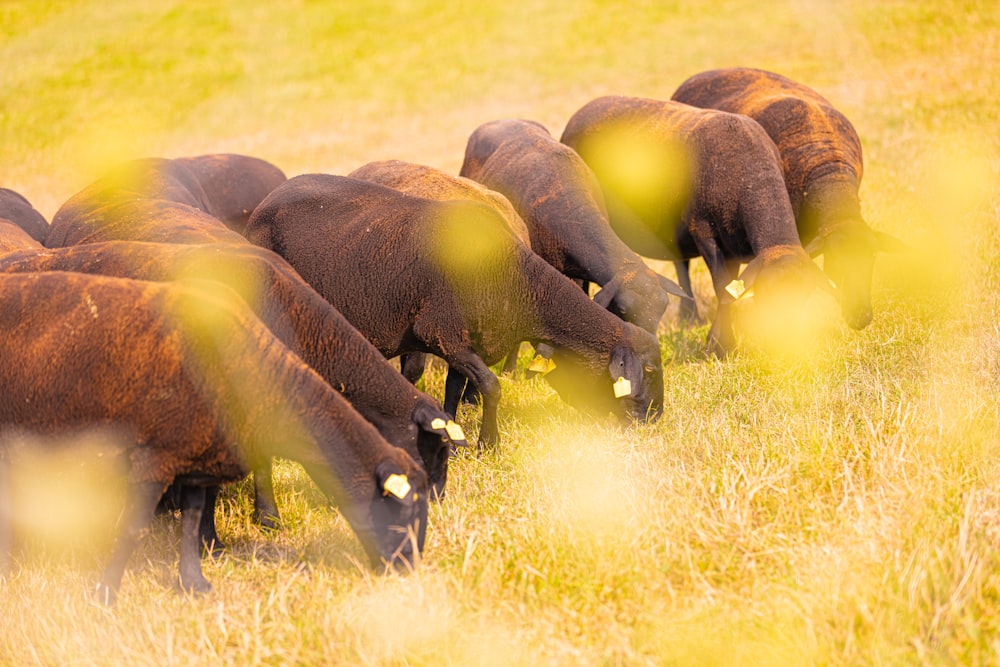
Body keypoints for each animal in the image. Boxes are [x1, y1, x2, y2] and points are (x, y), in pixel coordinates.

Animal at [0, 272, 426, 604]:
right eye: (404, 511)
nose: (409, 571)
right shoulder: (156, 457)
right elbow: (133, 528)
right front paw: (105, 595)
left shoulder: (195, 459)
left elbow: (191, 523)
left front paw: (194, 584)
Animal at [241, 175, 664, 452]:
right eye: (648, 370)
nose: (655, 420)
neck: (520, 286)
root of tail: (266, 200)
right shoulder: (442, 333)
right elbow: (491, 387)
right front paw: (488, 445)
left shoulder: (462, 341)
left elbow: (454, 388)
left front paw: (454, 437)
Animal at [560, 96, 832, 358]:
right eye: (765, 294)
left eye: (806, 295)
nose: (786, 349)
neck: (751, 178)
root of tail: (583, 110)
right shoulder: (703, 231)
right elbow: (722, 288)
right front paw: (722, 346)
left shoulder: (732, 245)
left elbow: (729, 287)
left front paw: (718, 339)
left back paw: (688, 316)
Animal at [668, 67, 904, 328]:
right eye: (835, 260)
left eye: (872, 258)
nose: (861, 317)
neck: (828, 171)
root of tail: (700, 74)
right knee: (681, 261)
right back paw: (689, 317)